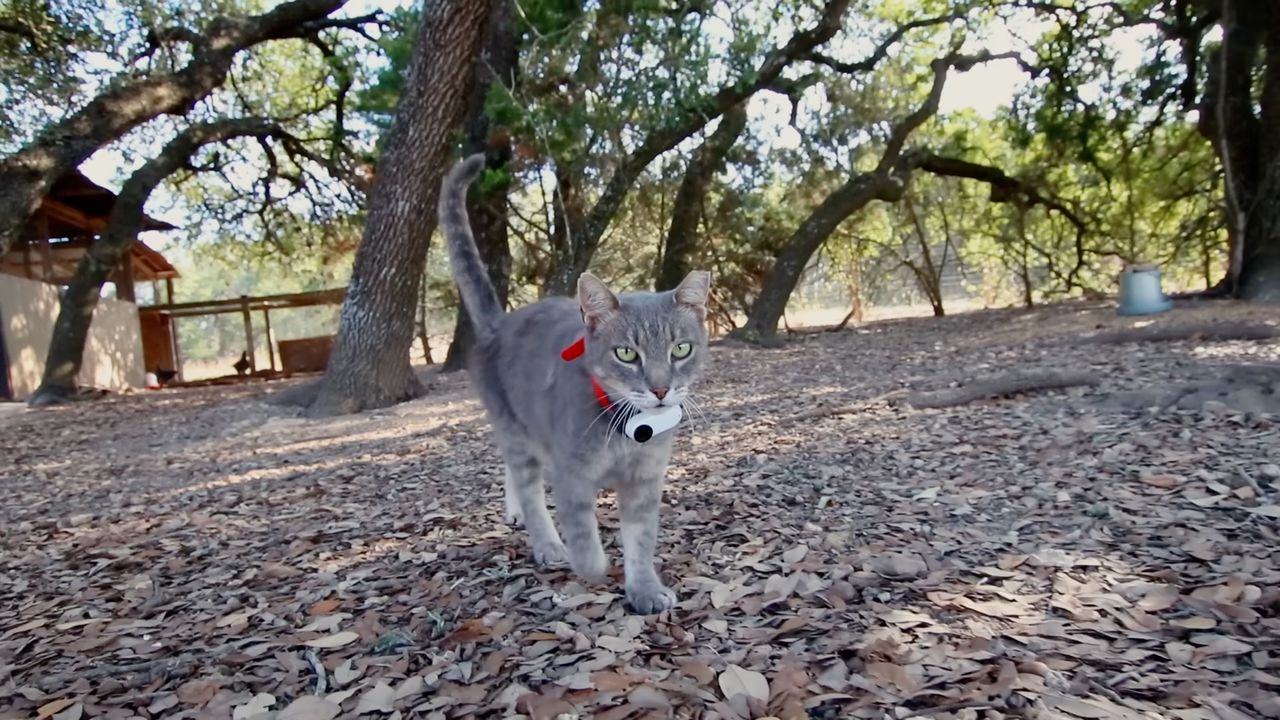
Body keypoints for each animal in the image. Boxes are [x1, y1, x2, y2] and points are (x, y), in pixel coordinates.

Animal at [440, 151, 711, 609]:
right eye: (626, 354)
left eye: (681, 349)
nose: (660, 389)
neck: (628, 431)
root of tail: (499, 325)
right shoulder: (570, 475)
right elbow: (583, 534)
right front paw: (593, 566)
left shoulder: (645, 482)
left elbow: (642, 541)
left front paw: (645, 589)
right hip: (516, 432)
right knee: (529, 489)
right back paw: (547, 543)